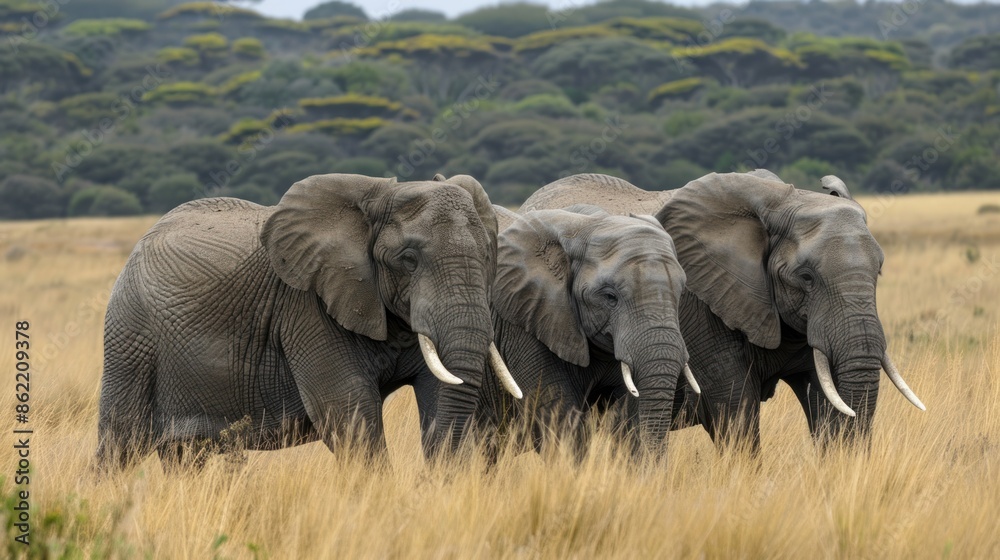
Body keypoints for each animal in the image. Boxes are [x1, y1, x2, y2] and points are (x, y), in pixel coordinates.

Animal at [96, 173, 522, 470]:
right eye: (408, 259)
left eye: (489, 255)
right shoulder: (306, 308)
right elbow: (348, 412)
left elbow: (436, 393)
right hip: (130, 336)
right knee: (120, 443)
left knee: (185, 454)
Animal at [451, 204, 699, 459]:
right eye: (610, 297)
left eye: (680, 294)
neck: (587, 226)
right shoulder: (526, 321)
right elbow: (558, 415)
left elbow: (627, 415)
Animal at [519, 172, 924, 450]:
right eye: (806, 277)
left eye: (879, 271)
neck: (788, 200)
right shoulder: (704, 305)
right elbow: (734, 407)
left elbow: (824, 401)